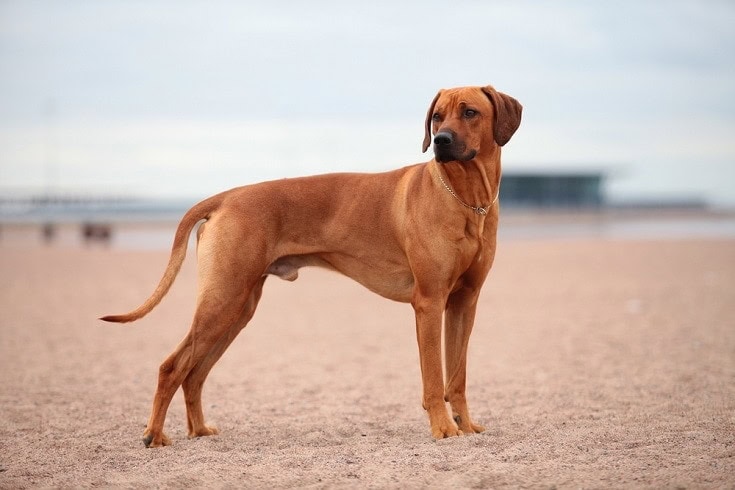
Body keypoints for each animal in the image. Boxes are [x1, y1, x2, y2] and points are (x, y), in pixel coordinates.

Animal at [100, 85, 524, 448]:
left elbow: (458, 376)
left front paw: (466, 424)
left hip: (238, 308)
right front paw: (443, 428)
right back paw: (154, 434)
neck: (467, 199)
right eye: (437, 117)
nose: (441, 141)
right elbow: (435, 378)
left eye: (469, 112)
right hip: (222, 300)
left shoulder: (464, 302)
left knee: (195, 373)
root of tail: (227, 197)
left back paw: (199, 430)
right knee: (173, 367)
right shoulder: (430, 303)